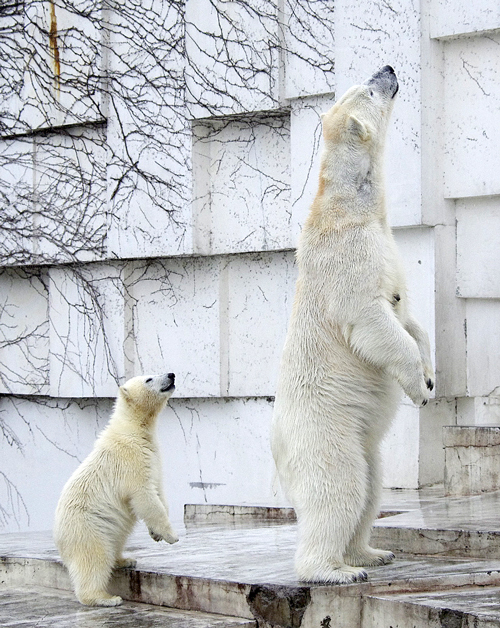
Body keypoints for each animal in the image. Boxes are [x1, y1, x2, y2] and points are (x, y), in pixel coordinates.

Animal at [54, 372, 179, 604]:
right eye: (149, 379)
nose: (171, 374)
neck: (133, 429)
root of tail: (59, 540)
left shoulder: (153, 457)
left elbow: (159, 491)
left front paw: (155, 534)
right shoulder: (131, 460)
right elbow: (145, 497)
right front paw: (171, 536)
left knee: (117, 541)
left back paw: (125, 559)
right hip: (88, 528)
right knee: (94, 558)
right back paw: (105, 598)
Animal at [270, 67, 434, 584]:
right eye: (368, 88)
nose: (389, 69)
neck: (348, 206)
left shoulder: (386, 243)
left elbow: (408, 316)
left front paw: (431, 372)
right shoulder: (350, 257)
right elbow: (371, 320)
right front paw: (419, 387)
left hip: (361, 439)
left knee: (372, 485)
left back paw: (369, 553)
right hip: (326, 431)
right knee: (339, 488)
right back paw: (333, 570)